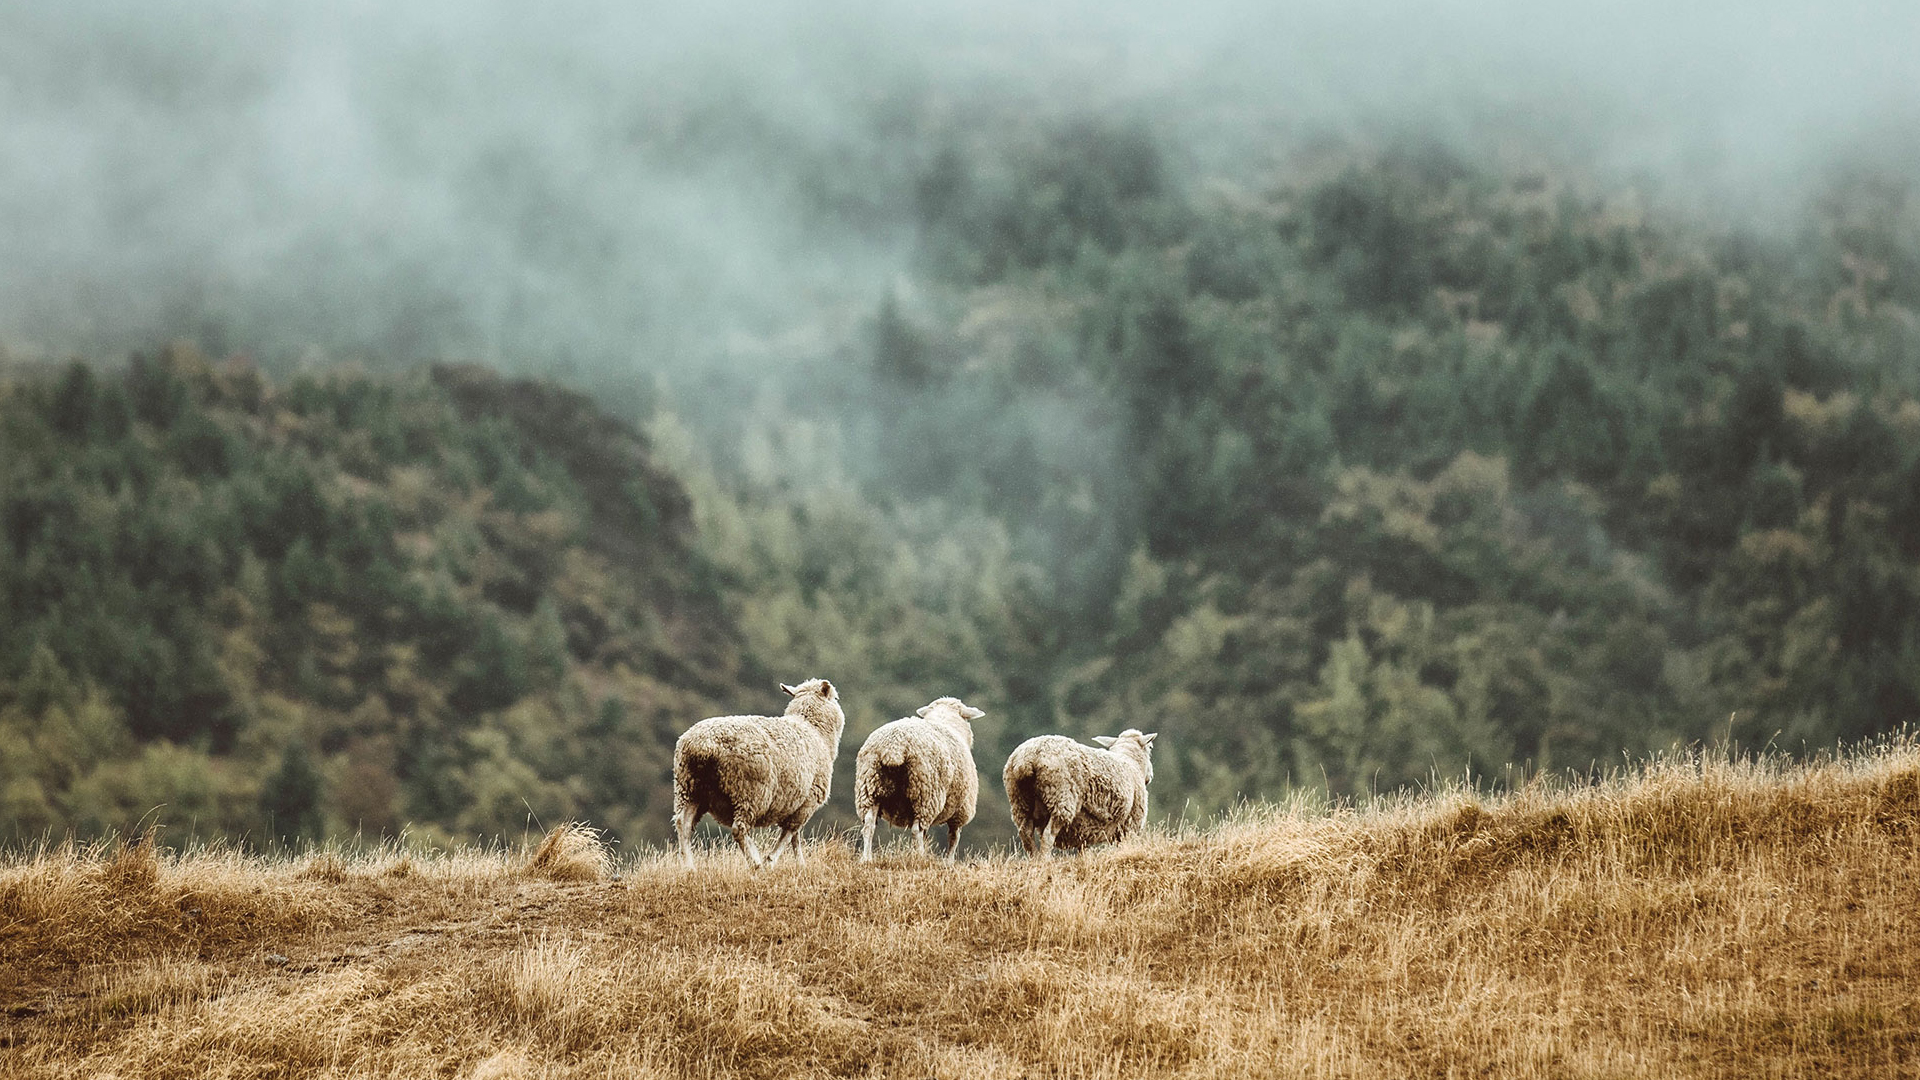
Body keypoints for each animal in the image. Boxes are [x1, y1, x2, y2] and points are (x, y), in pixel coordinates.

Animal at [672, 678, 846, 870]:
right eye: (836, 698)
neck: (812, 728)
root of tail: (703, 745)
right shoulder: (807, 802)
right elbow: (790, 833)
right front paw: (773, 860)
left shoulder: (797, 804)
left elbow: (794, 837)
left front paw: (799, 863)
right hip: (749, 792)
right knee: (739, 829)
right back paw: (755, 863)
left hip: (689, 788)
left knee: (683, 823)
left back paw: (689, 867)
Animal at [854, 696, 985, 862]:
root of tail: (894, 747)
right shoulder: (961, 812)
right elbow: (954, 838)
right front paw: (949, 862)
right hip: (926, 795)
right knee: (917, 830)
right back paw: (920, 857)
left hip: (869, 788)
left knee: (869, 824)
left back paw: (866, 858)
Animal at [1002, 729, 1158, 858]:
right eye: (1150, 748)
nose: (1151, 776)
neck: (1131, 762)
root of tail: (1027, 759)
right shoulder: (1129, 826)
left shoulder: (1084, 830)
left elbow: (1083, 851)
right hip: (1061, 798)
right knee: (1047, 835)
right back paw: (1045, 861)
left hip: (1020, 801)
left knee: (1026, 835)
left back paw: (1034, 860)